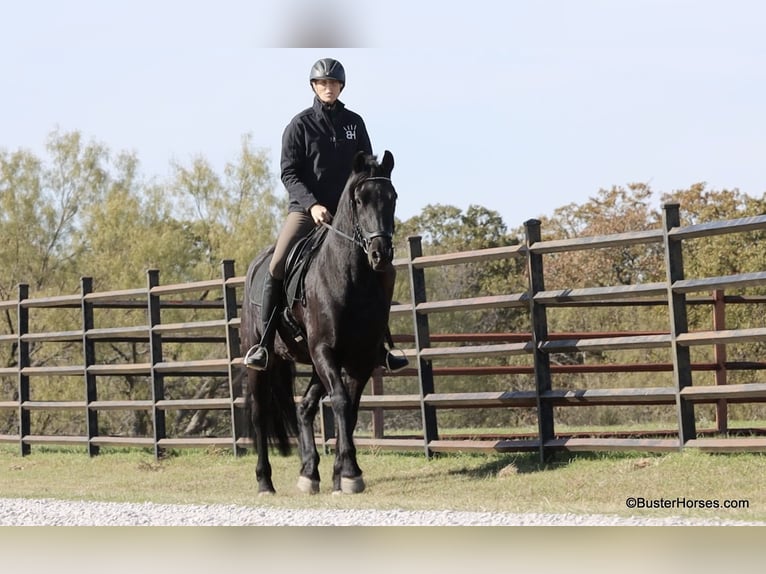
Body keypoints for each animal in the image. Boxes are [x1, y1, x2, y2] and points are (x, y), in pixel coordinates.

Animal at [240, 150, 398, 495]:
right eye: (359, 200)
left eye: (392, 197)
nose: (380, 254)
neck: (349, 278)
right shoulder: (325, 350)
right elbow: (339, 400)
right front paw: (350, 472)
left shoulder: (360, 357)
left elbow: (350, 408)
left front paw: (343, 474)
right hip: (264, 361)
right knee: (260, 414)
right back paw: (265, 481)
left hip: (313, 363)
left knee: (304, 407)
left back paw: (309, 472)